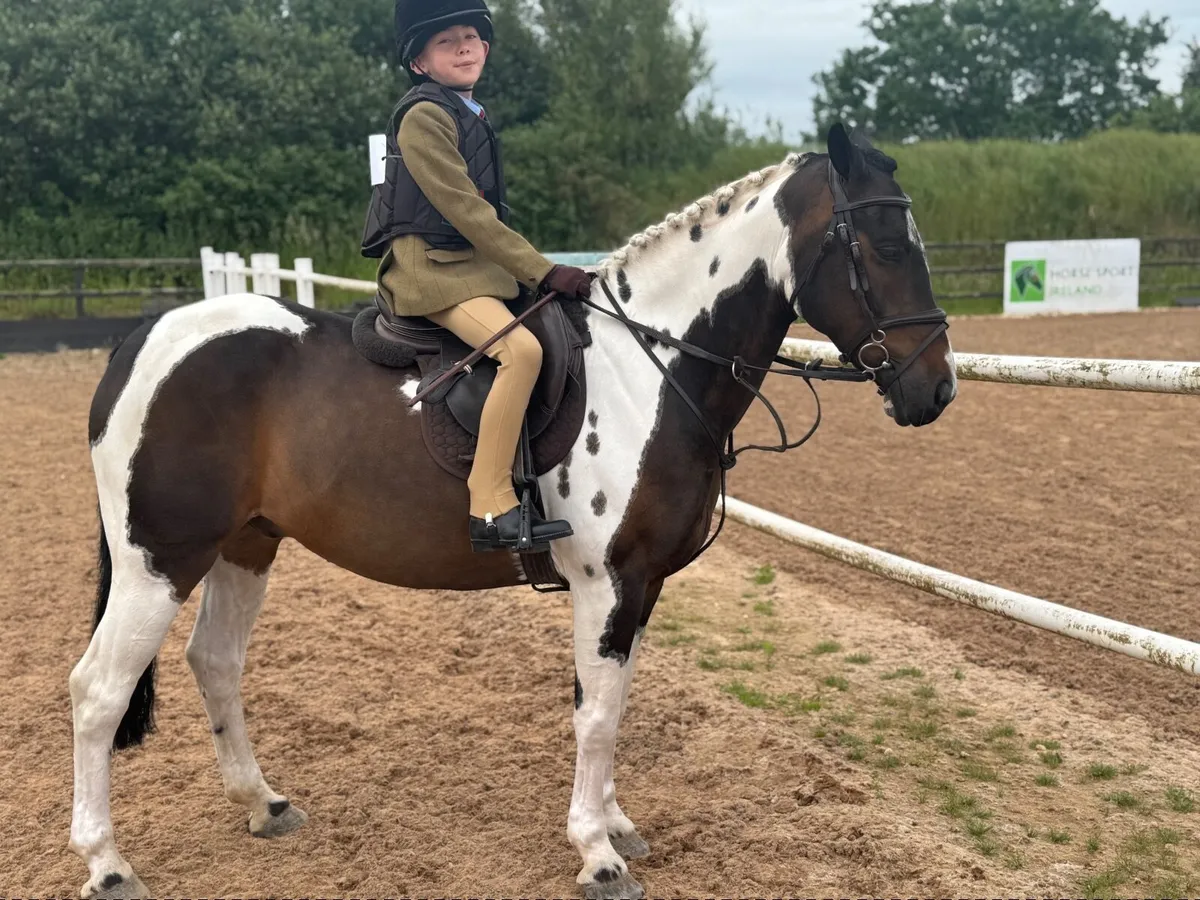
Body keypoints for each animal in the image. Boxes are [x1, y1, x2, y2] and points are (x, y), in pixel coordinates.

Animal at [68, 124, 956, 900]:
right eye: (883, 245)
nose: (935, 388)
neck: (650, 368)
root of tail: (147, 336)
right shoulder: (608, 582)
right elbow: (595, 715)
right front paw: (598, 855)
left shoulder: (642, 586)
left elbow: (614, 702)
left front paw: (614, 824)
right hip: (159, 560)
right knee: (99, 690)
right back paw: (108, 865)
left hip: (245, 546)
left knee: (214, 663)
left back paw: (263, 804)